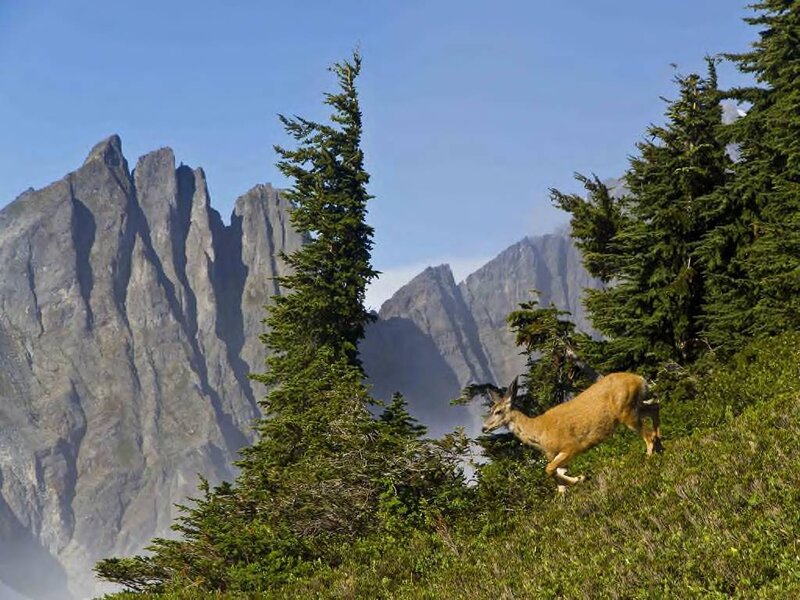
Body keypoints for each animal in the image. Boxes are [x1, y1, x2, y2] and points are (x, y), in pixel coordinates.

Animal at [482, 373, 662, 493]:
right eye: (490, 410)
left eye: (498, 411)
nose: (484, 427)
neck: (539, 432)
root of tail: (640, 379)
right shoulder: (555, 455)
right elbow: (556, 474)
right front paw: (570, 487)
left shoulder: (572, 446)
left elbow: (549, 469)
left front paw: (579, 479)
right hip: (634, 406)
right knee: (655, 407)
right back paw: (661, 446)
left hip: (626, 410)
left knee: (648, 434)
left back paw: (649, 458)